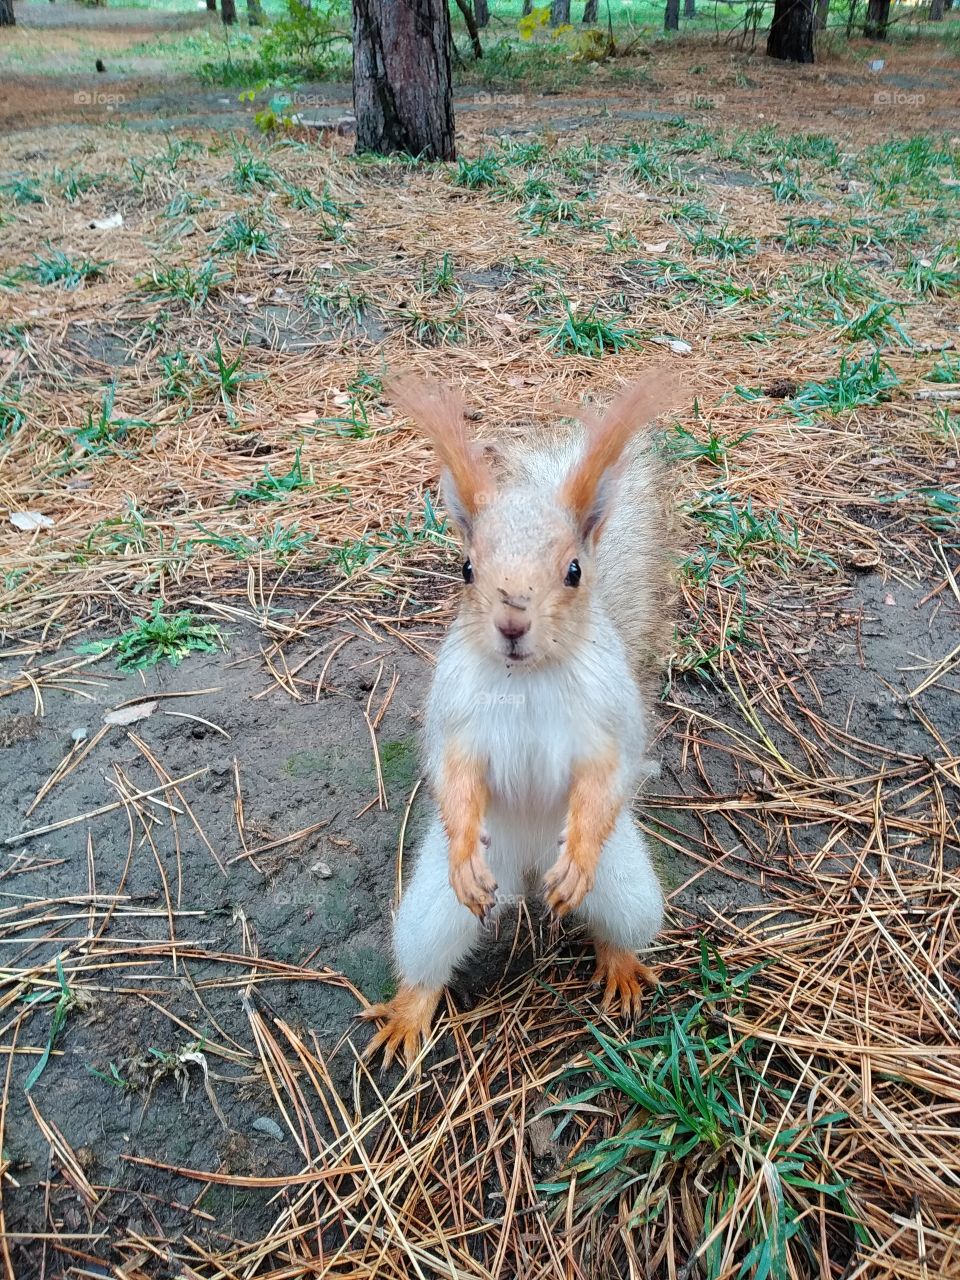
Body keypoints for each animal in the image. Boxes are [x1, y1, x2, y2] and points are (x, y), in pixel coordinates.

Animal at [362, 373, 679, 1067]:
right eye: (466, 568)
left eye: (574, 571)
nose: (512, 620)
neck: (526, 679)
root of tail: (528, 871)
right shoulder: (457, 714)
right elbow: (454, 774)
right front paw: (461, 847)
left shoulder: (607, 719)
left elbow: (605, 777)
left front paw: (579, 855)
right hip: (441, 904)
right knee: (430, 947)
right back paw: (408, 1012)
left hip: (624, 884)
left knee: (618, 923)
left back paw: (619, 965)